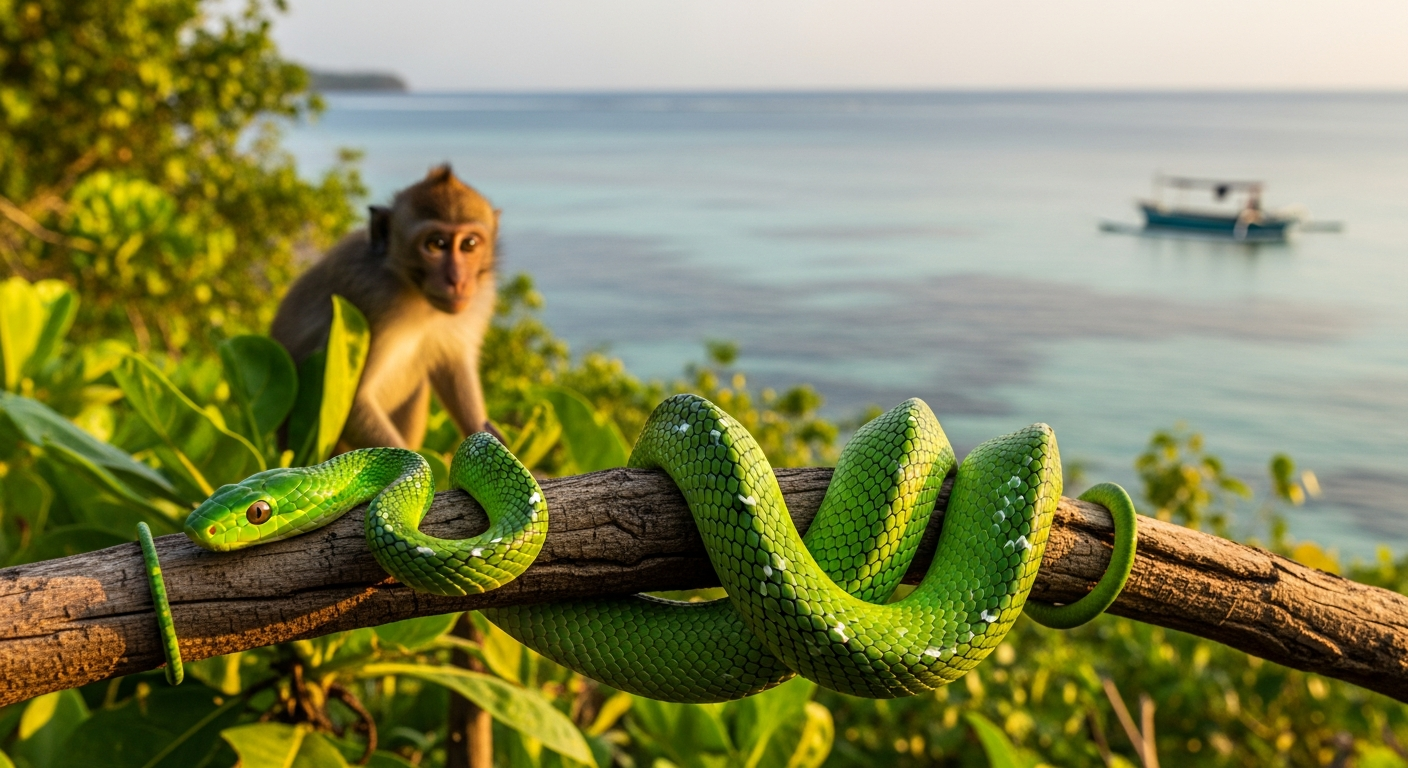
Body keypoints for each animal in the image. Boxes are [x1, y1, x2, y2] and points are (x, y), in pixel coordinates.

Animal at [270, 165, 498, 450]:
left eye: (469, 244)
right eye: (436, 244)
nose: (457, 280)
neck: (417, 296)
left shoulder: (478, 298)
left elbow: (452, 366)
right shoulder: (369, 300)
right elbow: (352, 401)